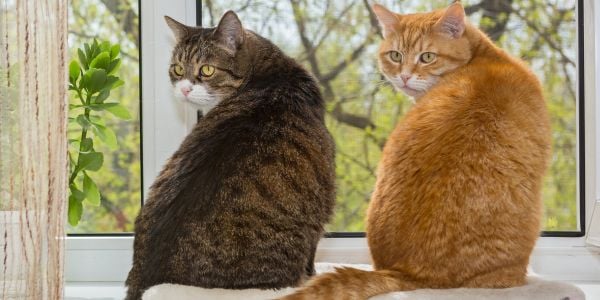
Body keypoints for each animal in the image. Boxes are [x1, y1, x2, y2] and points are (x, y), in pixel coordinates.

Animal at [124, 10, 336, 298]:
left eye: (207, 69)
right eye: (178, 69)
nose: (184, 89)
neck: (272, 74)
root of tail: (147, 279)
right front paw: (312, 274)